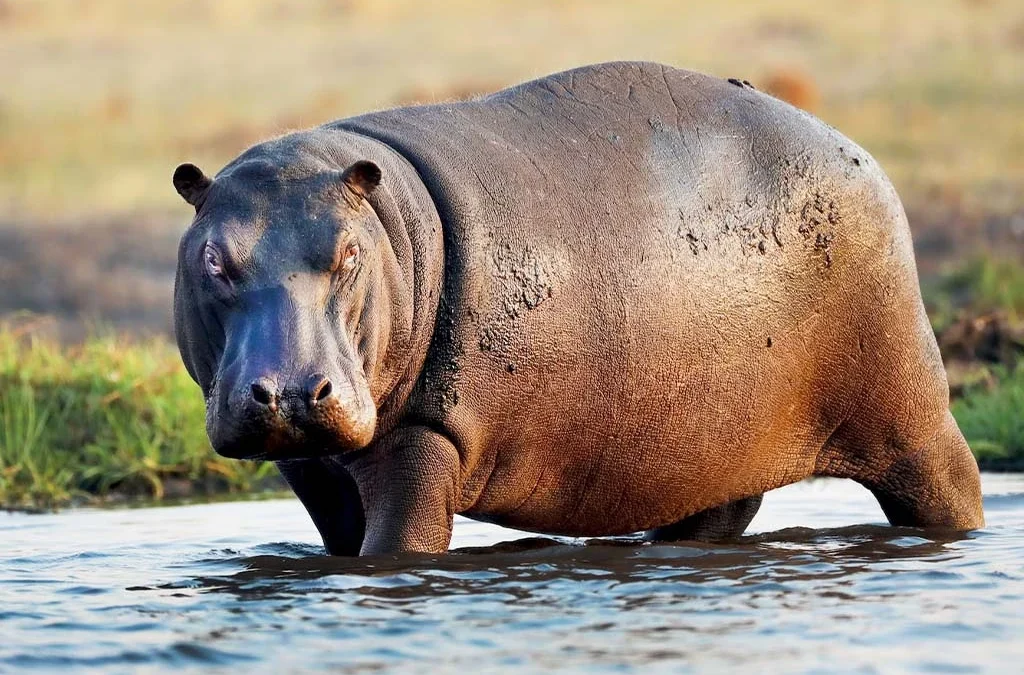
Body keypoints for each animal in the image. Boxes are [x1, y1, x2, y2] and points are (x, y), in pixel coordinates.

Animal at [172, 61, 984, 555]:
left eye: (347, 253)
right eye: (212, 257)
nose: (289, 391)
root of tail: (857, 150)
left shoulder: (425, 435)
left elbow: (399, 545)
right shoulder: (310, 463)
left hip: (906, 407)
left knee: (950, 481)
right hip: (717, 439)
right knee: (719, 511)